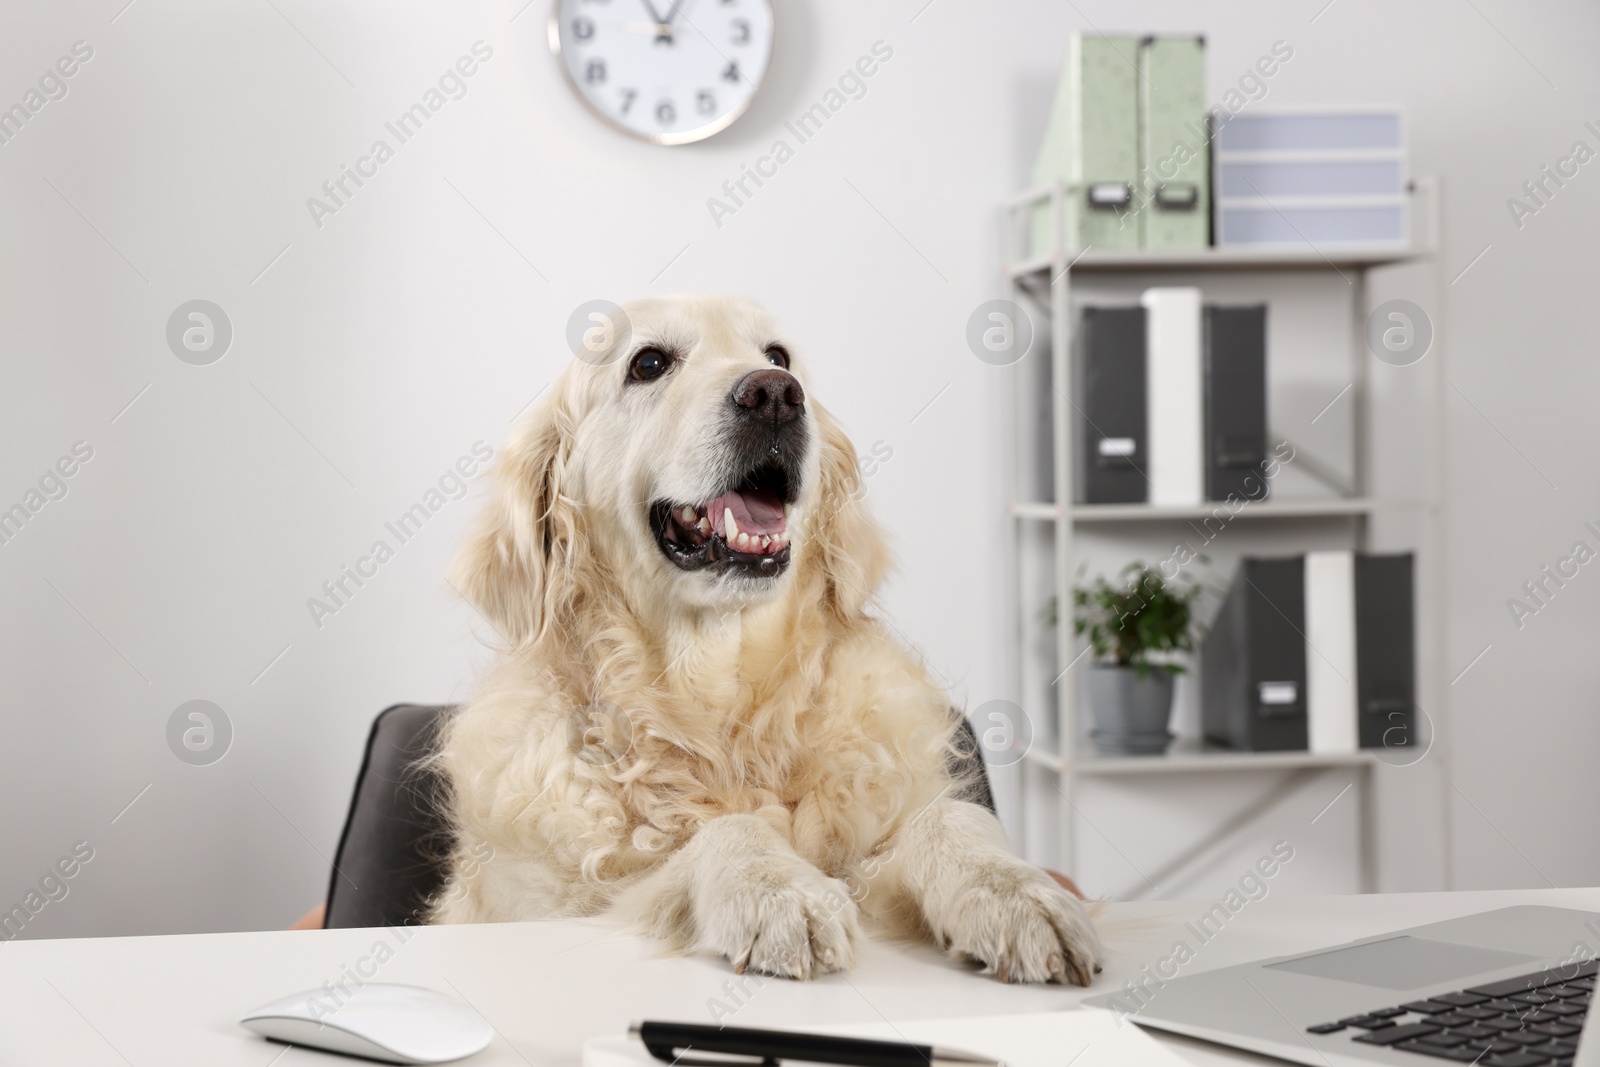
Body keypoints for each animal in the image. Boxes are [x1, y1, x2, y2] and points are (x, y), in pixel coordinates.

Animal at [425, 295, 1100, 991]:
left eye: (778, 357)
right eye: (648, 363)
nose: (775, 395)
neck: (725, 702)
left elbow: (949, 817)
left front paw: (1013, 890)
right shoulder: (571, 897)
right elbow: (720, 832)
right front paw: (775, 888)